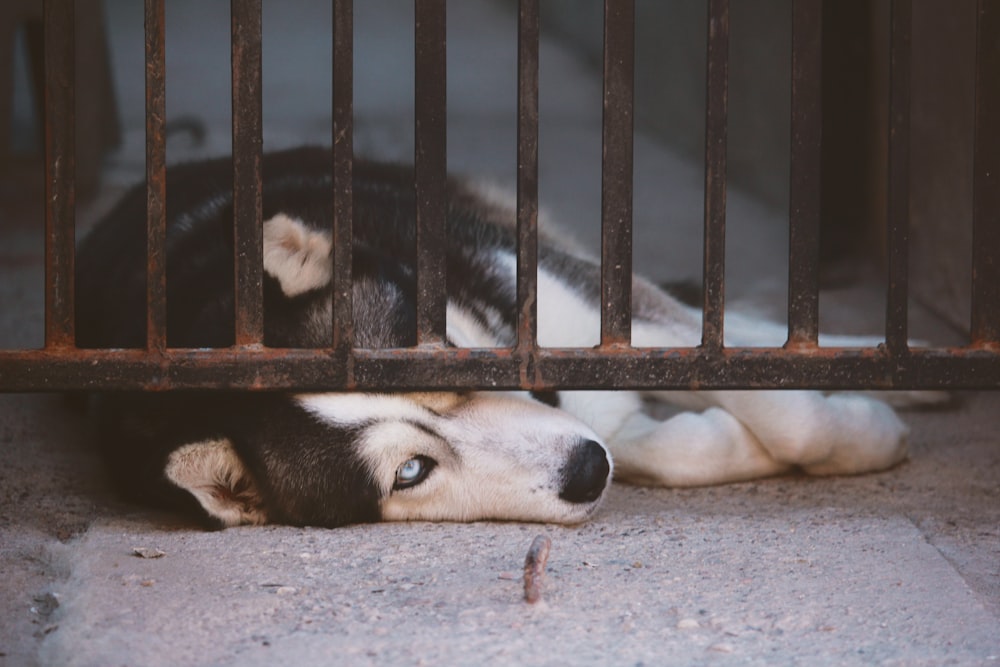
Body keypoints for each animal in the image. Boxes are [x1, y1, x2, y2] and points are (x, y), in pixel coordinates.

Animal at [78, 149, 936, 528]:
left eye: (451, 368)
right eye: (411, 471)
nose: (586, 470)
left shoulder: (586, 308)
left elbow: (764, 390)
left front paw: (863, 430)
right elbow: (667, 444)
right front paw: (724, 441)